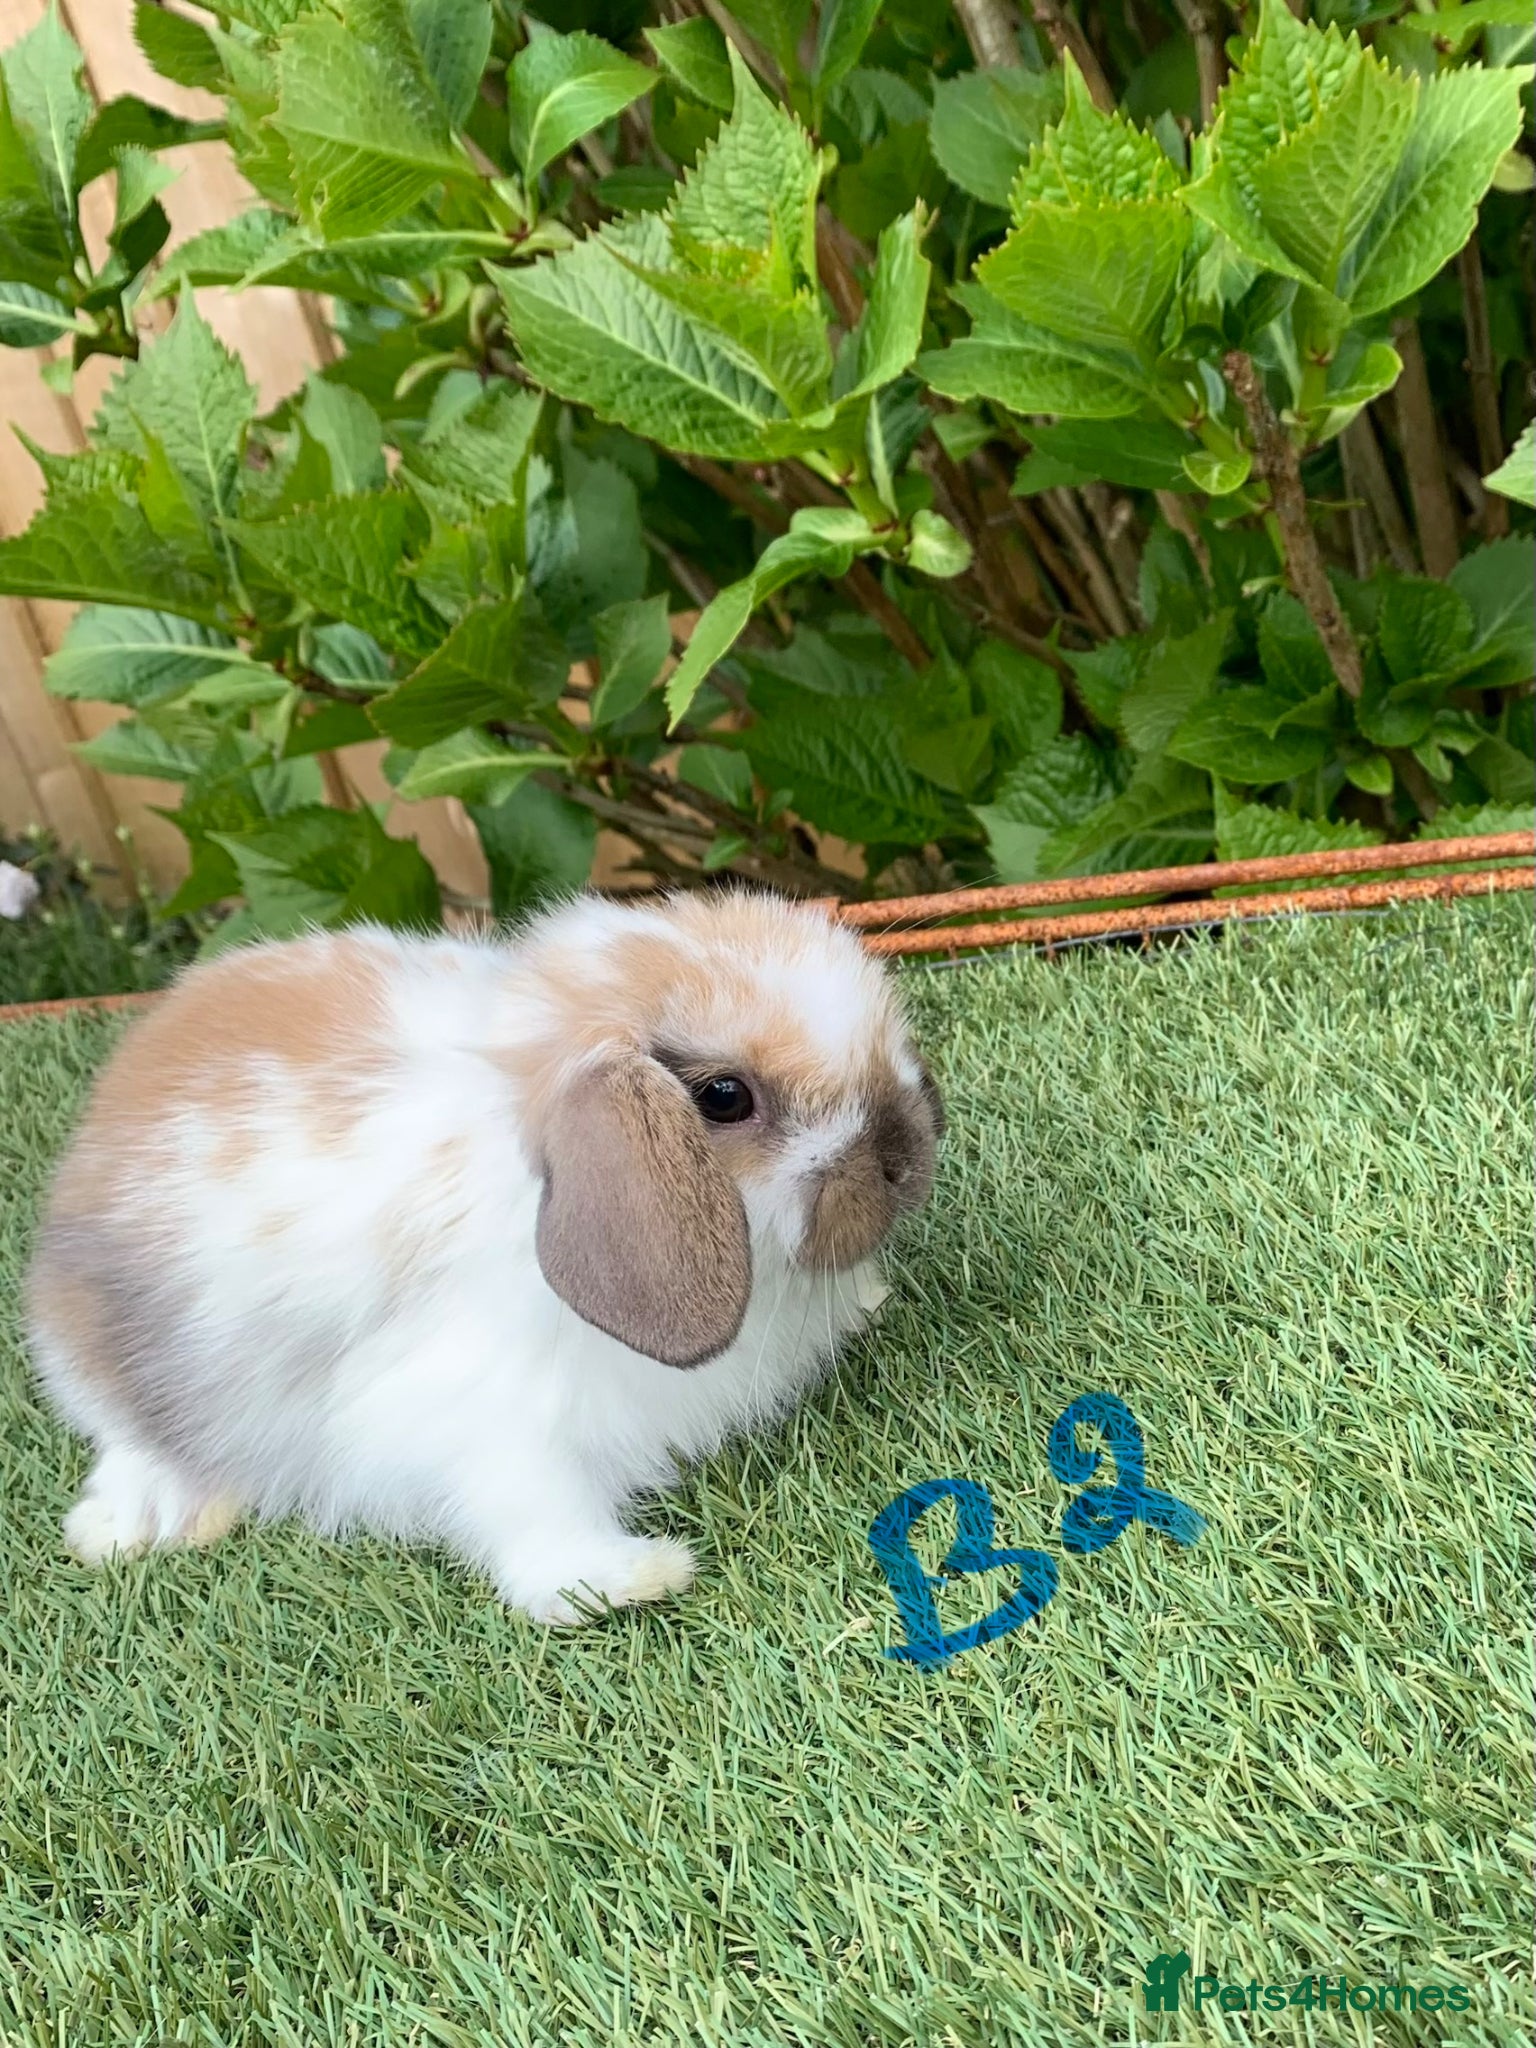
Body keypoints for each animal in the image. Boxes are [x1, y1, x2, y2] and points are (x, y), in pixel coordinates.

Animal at [26, 890, 942, 1624]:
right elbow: (537, 1512)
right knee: (128, 1441)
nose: (908, 1157)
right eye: (724, 1097)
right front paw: (629, 1579)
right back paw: (133, 1524)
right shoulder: (490, 1422)